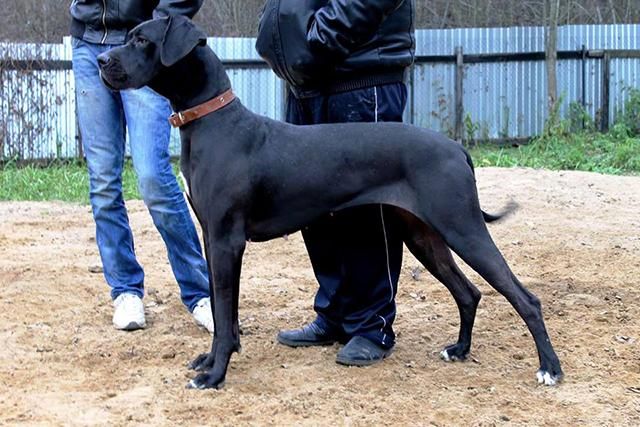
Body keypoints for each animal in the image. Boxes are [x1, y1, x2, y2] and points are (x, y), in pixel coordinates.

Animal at [97, 16, 563, 389]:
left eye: (142, 40)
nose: (101, 60)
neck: (213, 121)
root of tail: (456, 148)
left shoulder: (228, 240)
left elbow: (226, 318)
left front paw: (214, 375)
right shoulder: (212, 240)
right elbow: (220, 310)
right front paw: (209, 361)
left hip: (462, 227)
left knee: (525, 299)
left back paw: (550, 369)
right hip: (423, 235)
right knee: (468, 293)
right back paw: (460, 350)